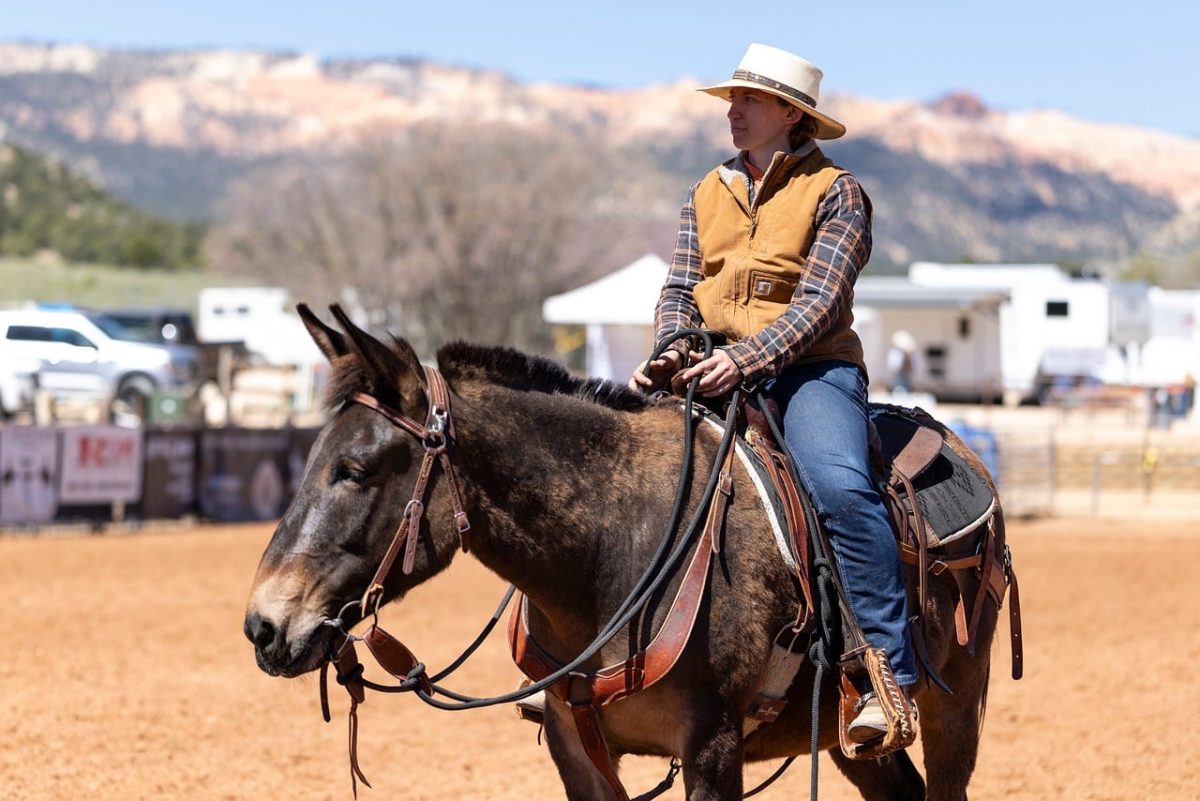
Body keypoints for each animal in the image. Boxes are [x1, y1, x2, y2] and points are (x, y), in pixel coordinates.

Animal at [244, 306, 1008, 801]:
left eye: (357, 468)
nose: (264, 626)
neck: (612, 553)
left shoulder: (712, 746)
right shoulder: (576, 747)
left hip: (954, 708)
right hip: (846, 739)